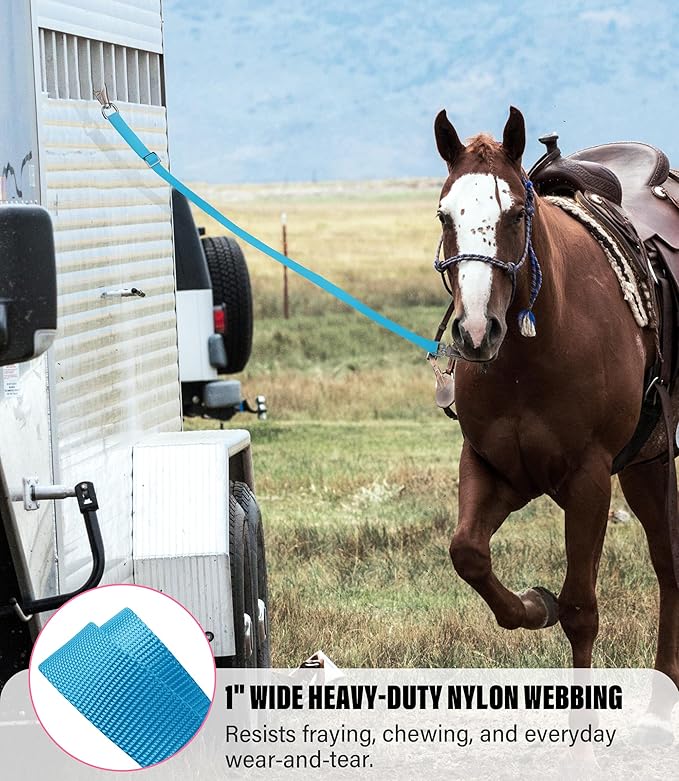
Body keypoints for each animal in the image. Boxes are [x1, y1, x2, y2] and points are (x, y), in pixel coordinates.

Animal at [432, 106, 679, 693]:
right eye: (445, 216)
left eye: (517, 212)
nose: (477, 331)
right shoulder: (494, 468)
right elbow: (468, 553)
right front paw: (532, 603)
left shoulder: (588, 480)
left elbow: (581, 611)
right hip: (646, 462)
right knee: (666, 562)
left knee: (668, 566)